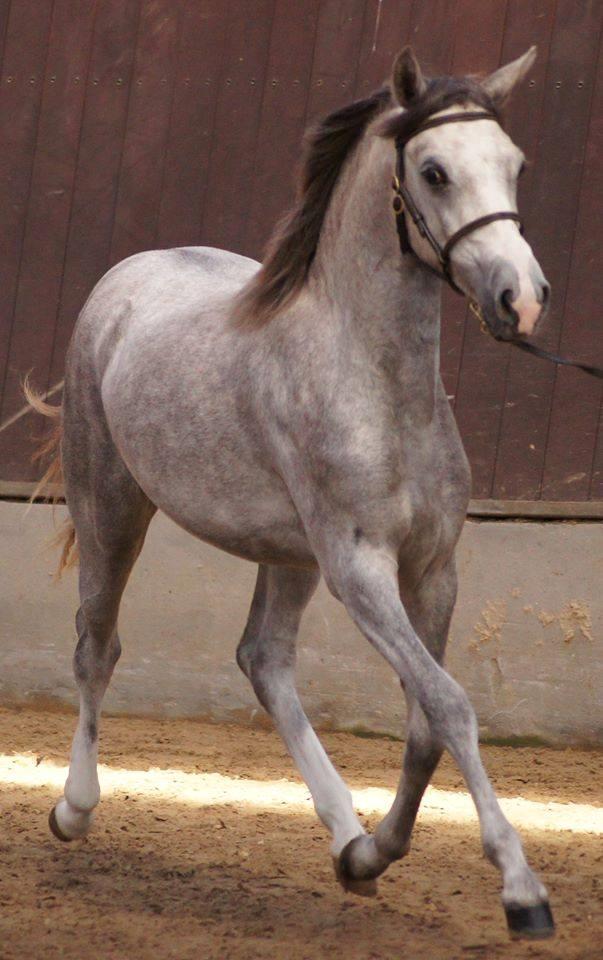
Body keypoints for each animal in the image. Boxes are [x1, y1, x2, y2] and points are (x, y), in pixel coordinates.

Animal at [30, 46, 554, 939]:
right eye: (434, 170)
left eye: (514, 164)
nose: (518, 300)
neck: (377, 384)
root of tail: (131, 272)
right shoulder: (360, 570)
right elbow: (449, 705)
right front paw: (522, 892)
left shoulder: (430, 569)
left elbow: (423, 720)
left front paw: (373, 855)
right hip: (113, 509)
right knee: (96, 648)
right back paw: (74, 809)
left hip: (287, 554)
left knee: (263, 659)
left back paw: (345, 835)